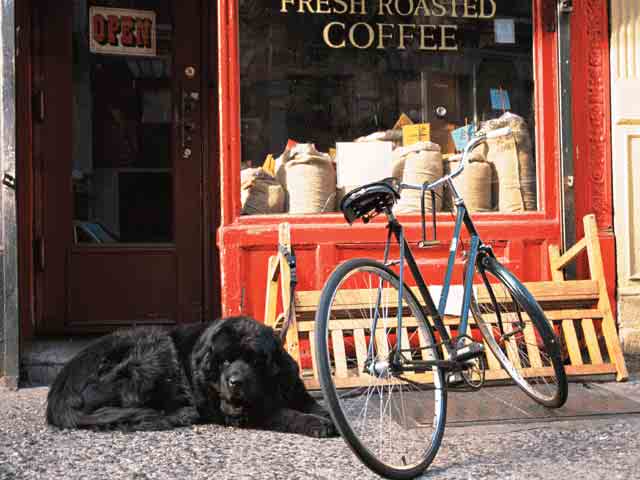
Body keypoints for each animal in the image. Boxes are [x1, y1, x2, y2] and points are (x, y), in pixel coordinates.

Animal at [47, 316, 338, 436]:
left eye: (255, 360)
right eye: (225, 361)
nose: (235, 382)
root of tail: (61, 386)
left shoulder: (290, 386)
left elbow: (312, 403)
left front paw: (326, 415)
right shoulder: (238, 409)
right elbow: (282, 413)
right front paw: (316, 424)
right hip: (153, 347)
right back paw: (181, 414)